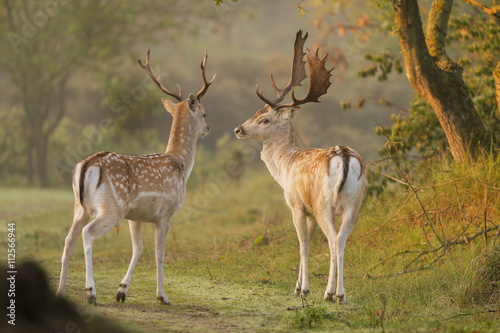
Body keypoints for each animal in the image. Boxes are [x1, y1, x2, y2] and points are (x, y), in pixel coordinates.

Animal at [56, 48, 215, 304]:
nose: (208, 129)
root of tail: (88, 165)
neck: (180, 165)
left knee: (69, 238)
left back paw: (61, 291)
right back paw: (91, 293)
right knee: (87, 233)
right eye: (204, 113)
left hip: (79, 207)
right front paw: (162, 296)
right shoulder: (166, 214)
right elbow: (159, 253)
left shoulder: (136, 216)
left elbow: (137, 248)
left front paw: (122, 291)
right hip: (113, 208)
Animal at [234, 31, 368, 304]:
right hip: (354, 203)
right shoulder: (311, 212)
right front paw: (298, 285)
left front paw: (302, 288)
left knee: (333, 240)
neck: (287, 164)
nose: (238, 129)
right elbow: (310, 242)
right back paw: (339, 294)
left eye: (264, 119)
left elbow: (303, 245)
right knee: (342, 240)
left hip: (322, 202)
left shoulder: (297, 204)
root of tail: (344, 155)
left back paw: (332, 293)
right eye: (256, 112)